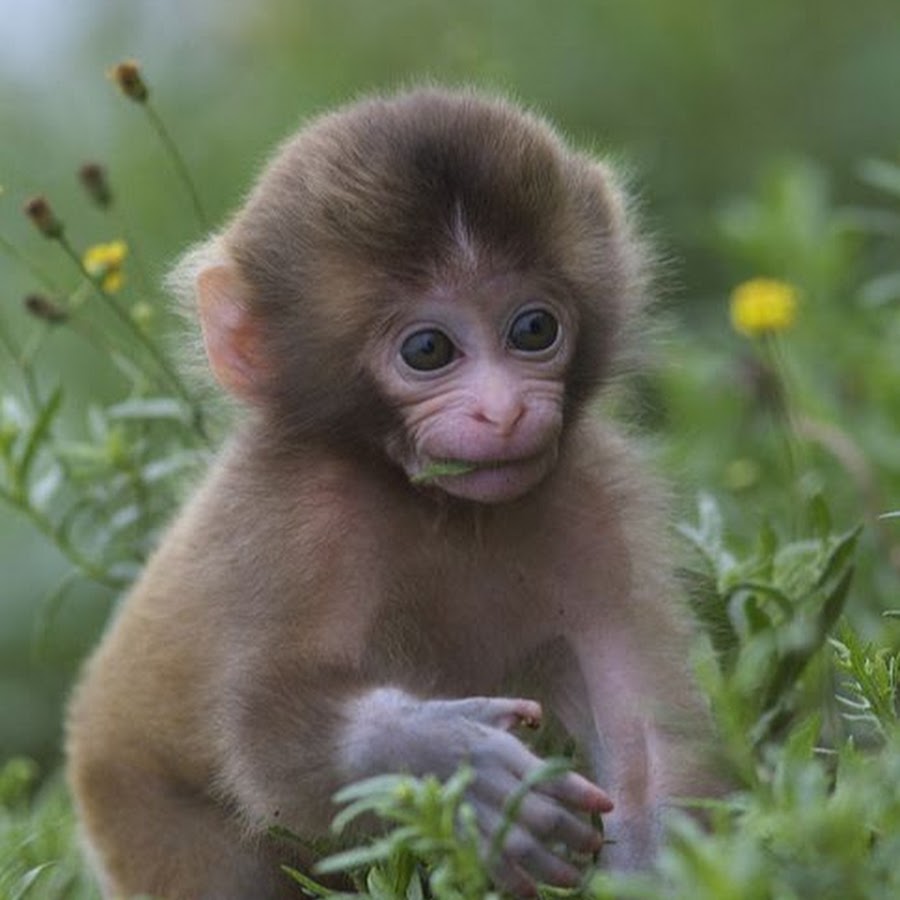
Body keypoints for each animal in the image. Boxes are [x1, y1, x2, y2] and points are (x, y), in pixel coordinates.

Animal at [66, 88, 718, 900]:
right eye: (428, 350)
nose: (502, 411)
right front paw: (444, 756)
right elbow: (267, 745)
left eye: (534, 329)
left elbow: (647, 735)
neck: (440, 507)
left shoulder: (592, 497)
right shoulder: (300, 516)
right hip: (136, 814)